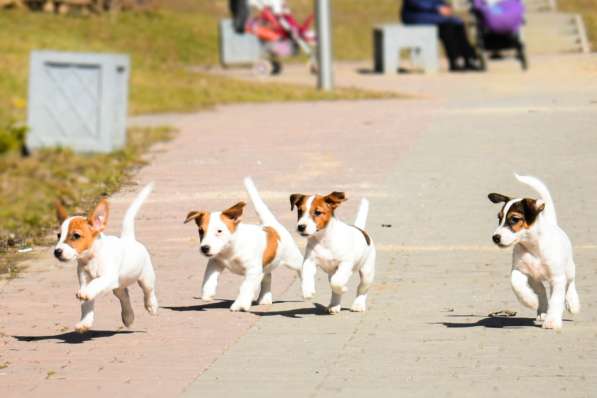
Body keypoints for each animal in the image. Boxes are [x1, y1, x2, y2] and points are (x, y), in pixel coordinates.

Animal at [53, 183, 158, 332]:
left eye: (76, 235)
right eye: (58, 236)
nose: (57, 251)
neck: (92, 259)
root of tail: (128, 238)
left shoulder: (108, 277)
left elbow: (96, 283)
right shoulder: (84, 281)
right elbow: (86, 305)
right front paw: (85, 322)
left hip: (146, 277)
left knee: (149, 291)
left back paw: (151, 306)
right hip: (118, 286)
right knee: (124, 295)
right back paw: (128, 316)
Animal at [183, 176, 302, 310]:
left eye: (219, 231)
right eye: (201, 231)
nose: (204, 248)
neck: (230, 249)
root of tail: (271, 225)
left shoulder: (252, 270)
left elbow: (245, 287)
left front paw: (240, 304)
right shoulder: (215, 262)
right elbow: (208, 277)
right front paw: (207, 292)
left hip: (293, 259)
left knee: (302, 266)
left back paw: (307, 287)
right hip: (265, 266)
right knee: (267, 276)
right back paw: (264, 298)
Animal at [488, 174, 576, 330]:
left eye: (514, 219)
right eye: (499, 218)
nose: (495, 238)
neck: (533, 247)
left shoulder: (557, 278)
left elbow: (557, 299)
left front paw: (552, 321)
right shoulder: (519, 270)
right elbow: (516, 285)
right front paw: (530, 301)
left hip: (568, 269)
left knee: (571, 282)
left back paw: (572, 302)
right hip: (534, 278)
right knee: (541, 290)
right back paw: (541, 308)